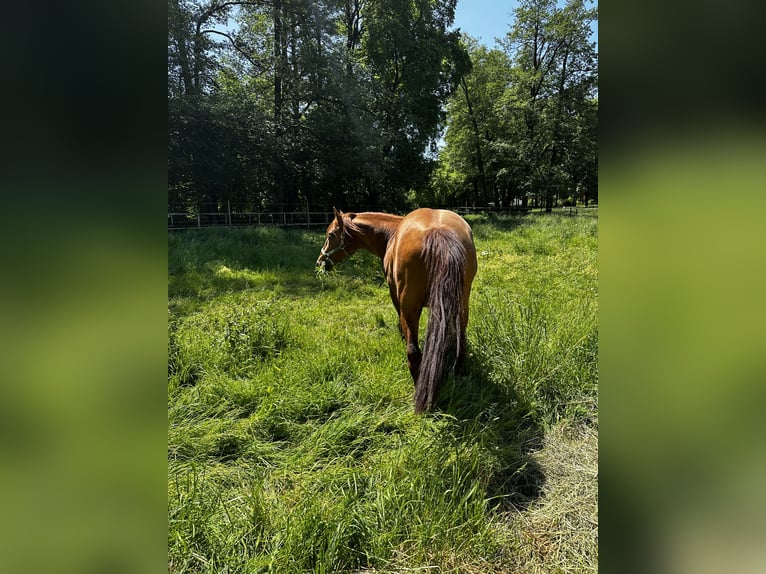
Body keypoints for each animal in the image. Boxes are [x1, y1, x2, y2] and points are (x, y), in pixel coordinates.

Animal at [316, 207, 476, 414]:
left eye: (331, 235)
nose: (320, 261)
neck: (390, 233)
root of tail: (438, 232)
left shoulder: (395, 294)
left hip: (410, 307)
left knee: (413, 352)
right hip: (462, 305)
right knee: (460, 344)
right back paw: (458, 375)